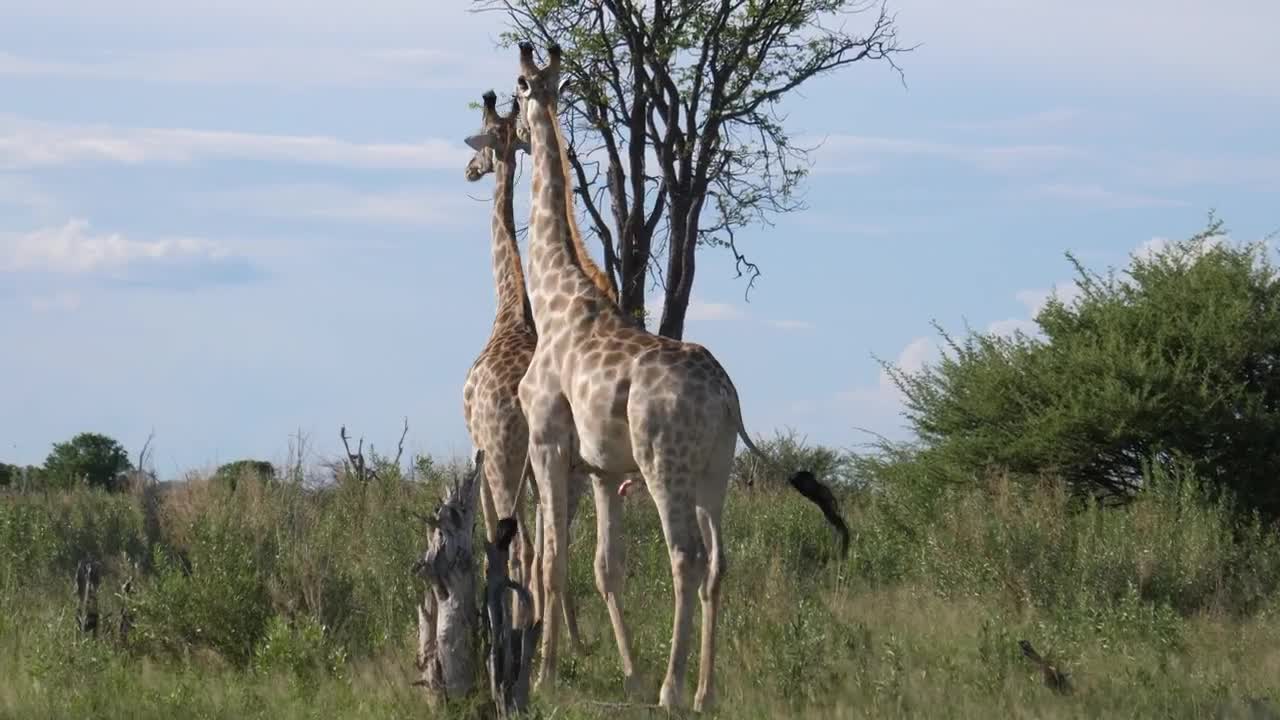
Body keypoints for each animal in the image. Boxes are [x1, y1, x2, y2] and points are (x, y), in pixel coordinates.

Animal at [512, 43, 851, 712]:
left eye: (516, 90)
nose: (510, 131)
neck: (555, 296)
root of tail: (726, 397)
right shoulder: (602, 468)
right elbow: (605, 566)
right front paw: (628, 676)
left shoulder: (548, 442)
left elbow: (553, 560)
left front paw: (545, 676)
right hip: (714, 470)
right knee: (718, 562)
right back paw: (703, 691)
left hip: (663, 462)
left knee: (685, 557)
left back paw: (674, 689)